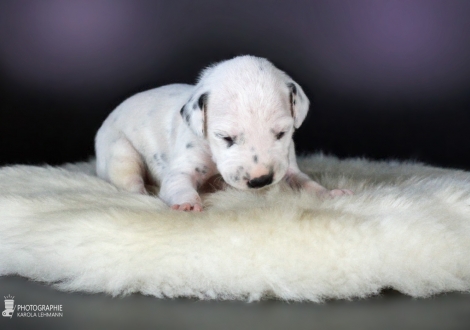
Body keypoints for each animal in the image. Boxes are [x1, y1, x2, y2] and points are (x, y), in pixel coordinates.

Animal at [95, 55, 352, 211]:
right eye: (225, 137)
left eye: (282, 133)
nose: (261, 180)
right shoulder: (182, 167)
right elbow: (178, 183)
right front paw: (187, 203)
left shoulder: (287, 165)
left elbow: (305, 182)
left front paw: (330, 193)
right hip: (120, 154)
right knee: (130, 182)